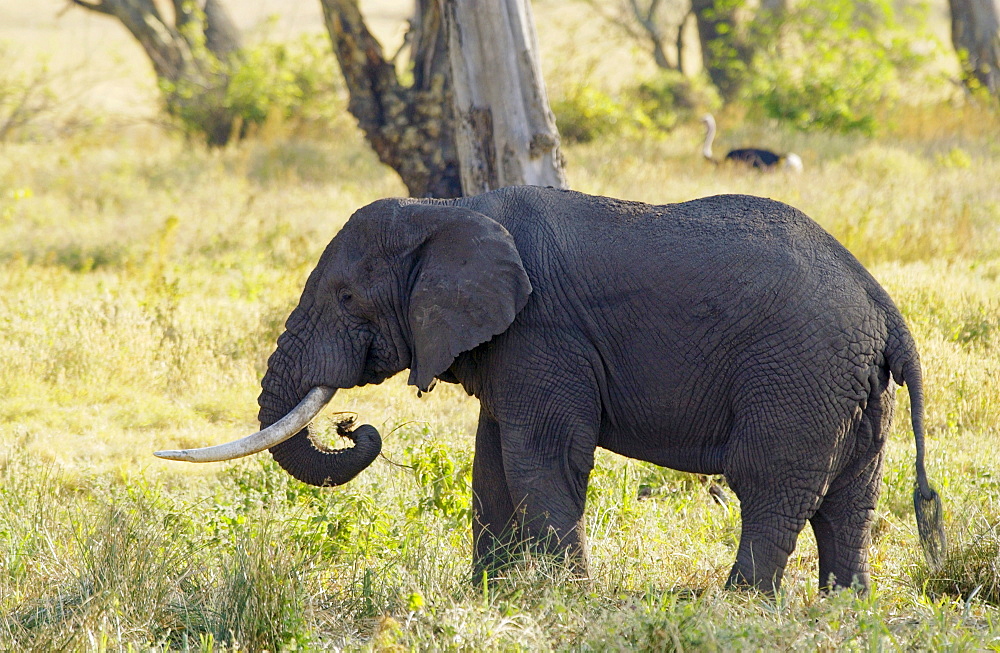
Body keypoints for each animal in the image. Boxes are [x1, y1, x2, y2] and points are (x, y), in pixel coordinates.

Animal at [158, 186, 944, 592]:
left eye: (348, 297)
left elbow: (543, 456)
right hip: (852, 388)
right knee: (851, 498)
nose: (354, 425)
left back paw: (737, 605)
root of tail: (881, 303)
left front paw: (570, 598)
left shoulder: (543, 331)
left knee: (771, 486)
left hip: (797, 374)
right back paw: (844, 606)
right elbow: (492, 463)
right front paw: (491, 594)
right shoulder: (512, 343)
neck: (447, 208)